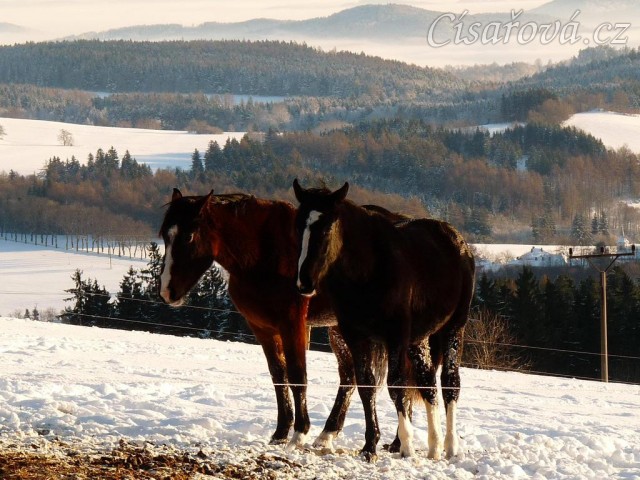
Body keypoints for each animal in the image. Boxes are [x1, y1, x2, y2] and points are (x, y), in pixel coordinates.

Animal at [158, 188, 404, 452]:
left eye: (188, 236)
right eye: (165, 236)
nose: (166, 291)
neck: (264, 253)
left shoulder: (293, 324)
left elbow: (297, 375)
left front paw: (299, 433)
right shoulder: (262, 328)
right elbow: (278, 375)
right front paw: (281, 432)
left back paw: (397, 442)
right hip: (339, 329)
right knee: (349, 377)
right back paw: (329, 433)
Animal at [293, 179, 476, 461]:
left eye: (327, 227)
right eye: (298, 225)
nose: (305, 282)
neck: (369, 270)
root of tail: (458, 241)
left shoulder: (395, 336)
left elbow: (396, 386)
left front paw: (407, 445)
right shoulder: (355, 335)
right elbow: (366, 385)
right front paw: (370, 446)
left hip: (453, 329)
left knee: (450, 383)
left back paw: (450, 445)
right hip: (419, 339)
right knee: (428, 383)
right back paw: (434, 446)